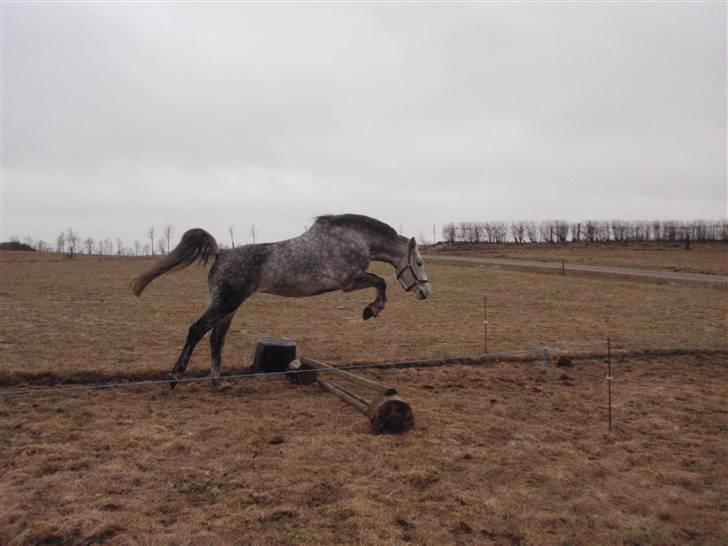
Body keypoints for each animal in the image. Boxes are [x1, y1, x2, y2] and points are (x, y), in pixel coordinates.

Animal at [131, 212, 430, 386]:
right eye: (418, 262)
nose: (425, 293)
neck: (355, 240)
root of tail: (221, 254)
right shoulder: (349, 282)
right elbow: (381, 282)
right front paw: (372, 310)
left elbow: (380, 282)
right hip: (225, 303)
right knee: (196, 330)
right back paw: (175, 377)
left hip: (228, 307)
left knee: (216, 339)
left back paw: (220, 383)